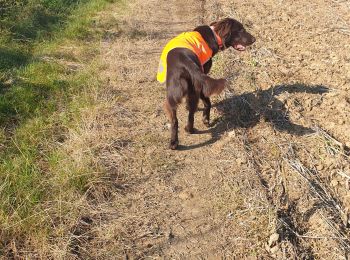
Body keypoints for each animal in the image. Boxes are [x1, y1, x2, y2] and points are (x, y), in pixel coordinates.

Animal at [157, 18, 256, 149]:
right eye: (240, 30)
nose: (254, 39)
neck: (214, 35)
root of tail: (185, 61)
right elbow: (206, 103)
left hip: (175, 94)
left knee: (177, 119)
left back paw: (175, 141)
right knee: (198, 109)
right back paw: (195, 127)